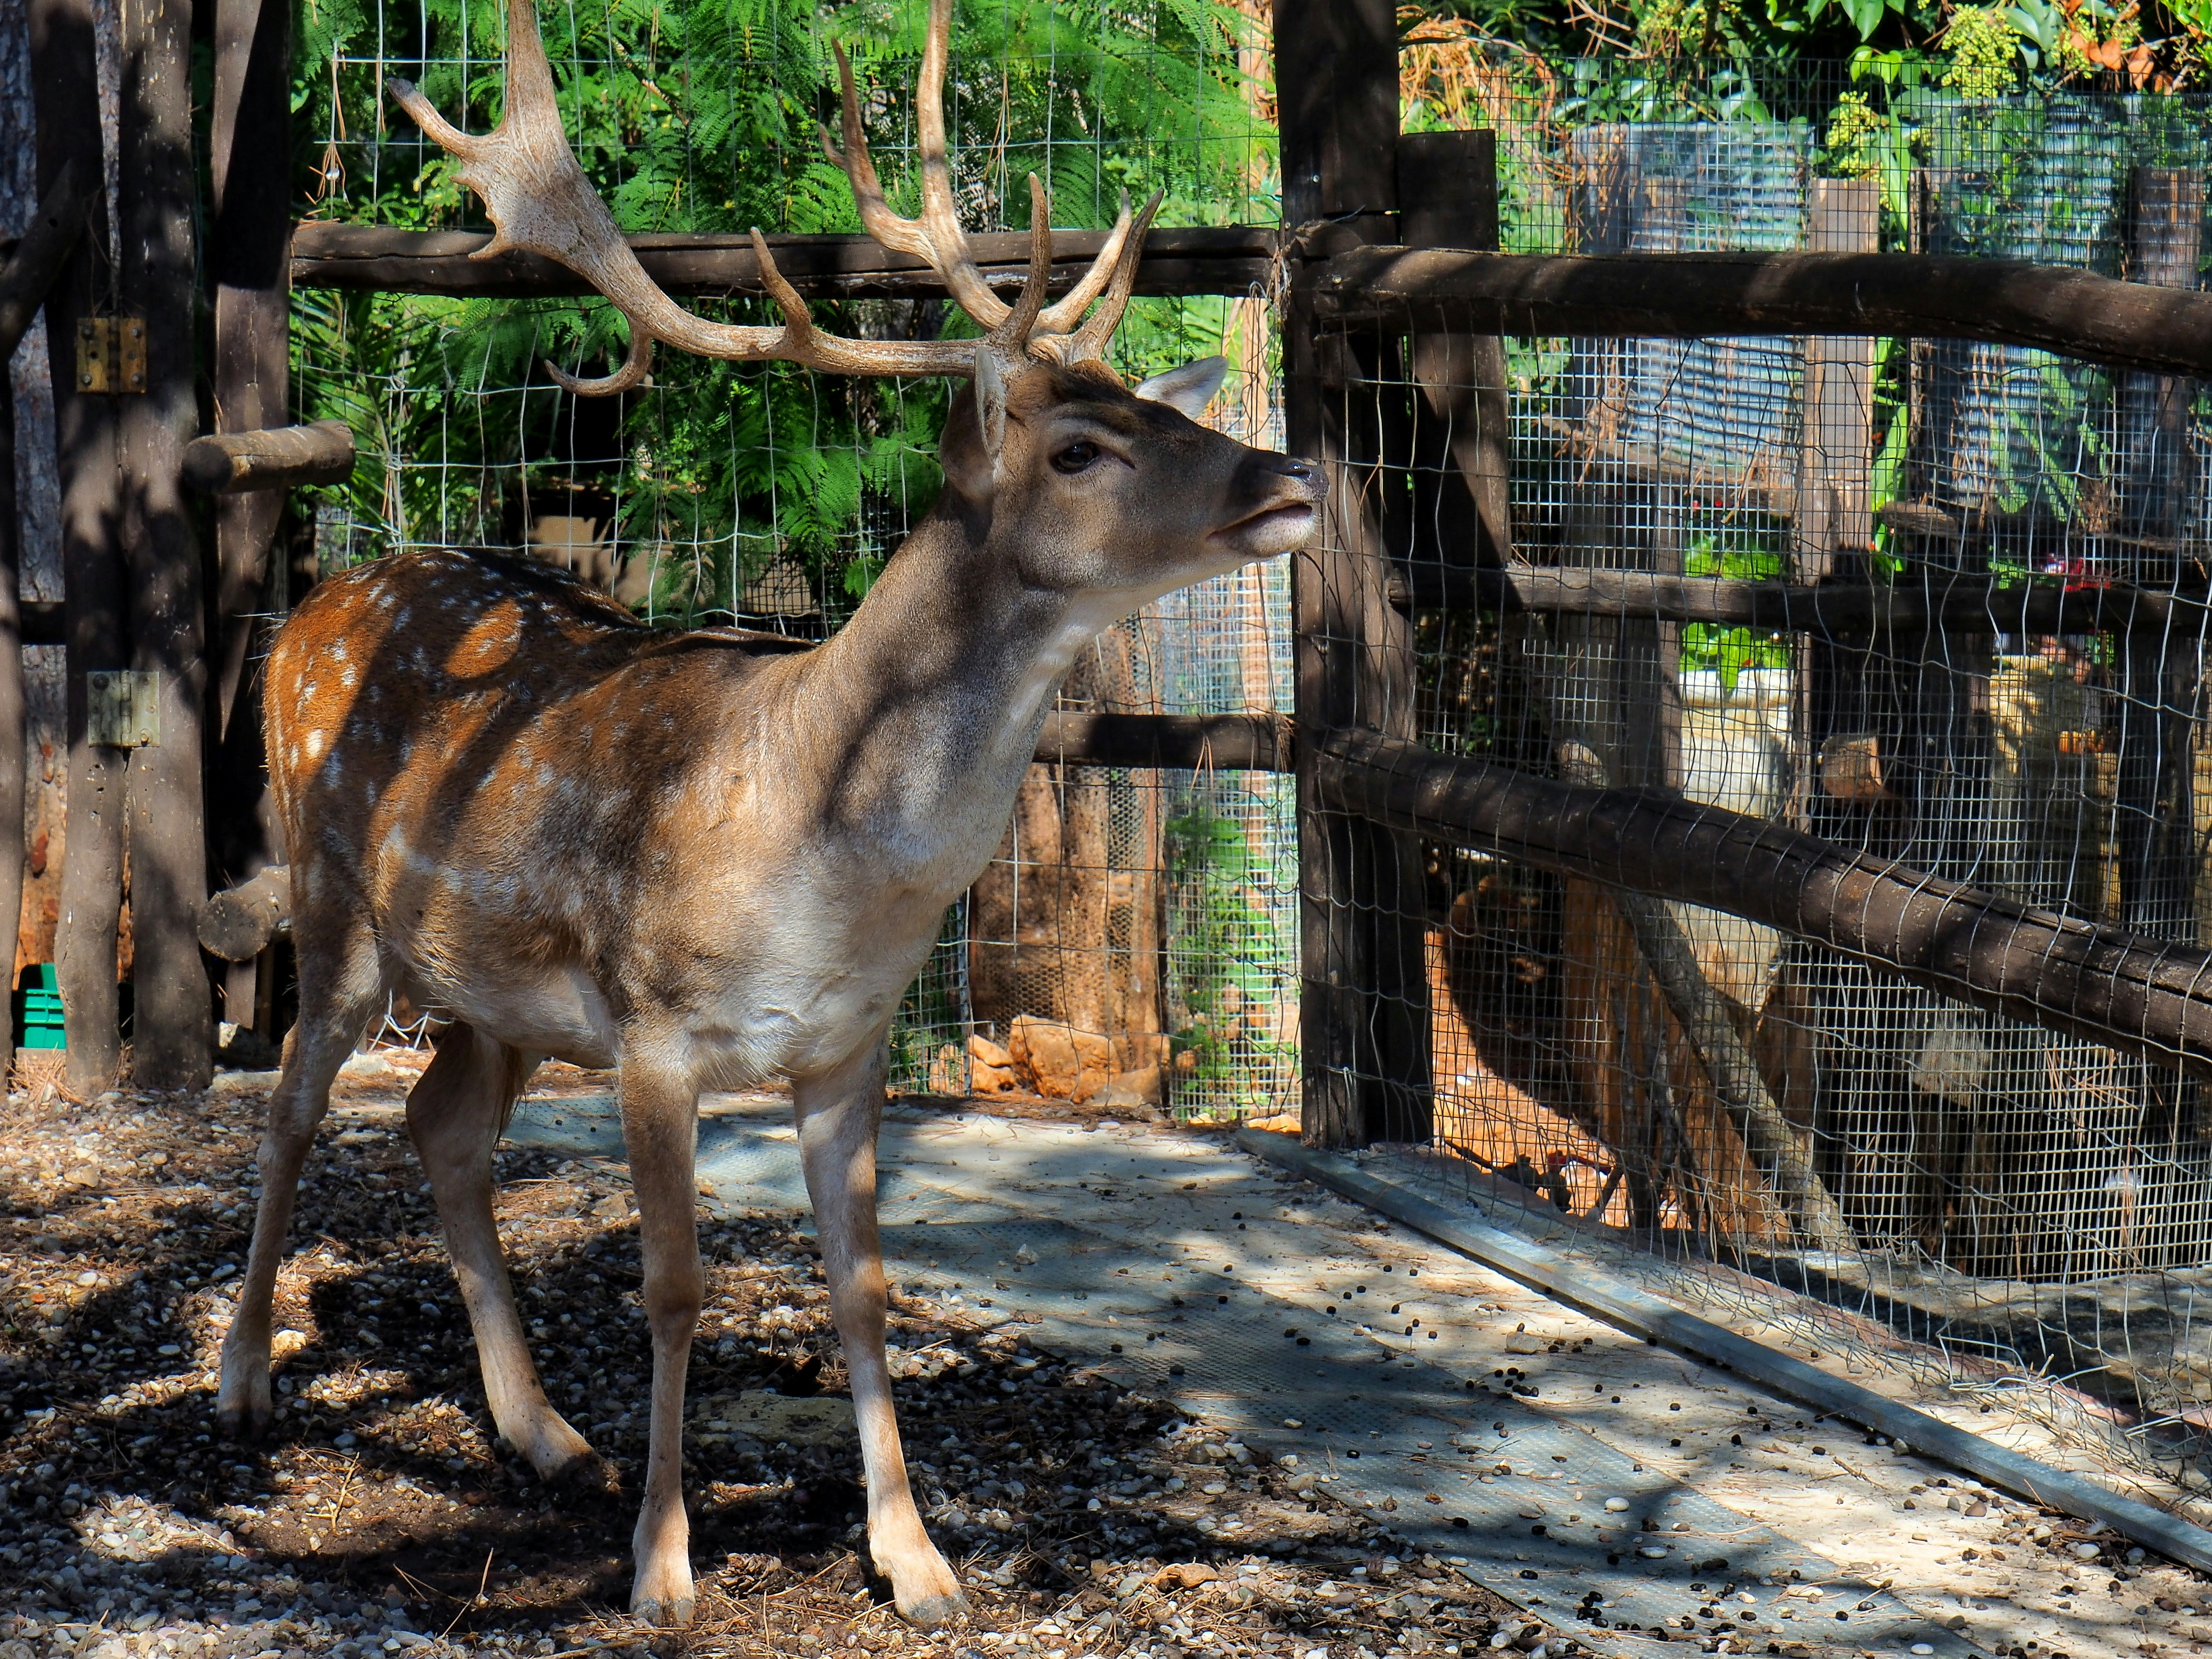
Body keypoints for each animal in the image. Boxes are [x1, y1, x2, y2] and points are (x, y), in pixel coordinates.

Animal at [214, 0, 1321, 1632]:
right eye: (1077, 449)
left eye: (1136, 407)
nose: (1288, 475)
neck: (830, 862)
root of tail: (316, 597)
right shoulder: (657, 1027)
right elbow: (677, 1288)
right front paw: (666, 1569)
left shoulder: (845, 1044)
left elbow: (859, 1284)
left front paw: (917, 1560)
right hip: (334, 890)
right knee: (295, 1107)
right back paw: (240, 1380)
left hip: (494, 991)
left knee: (441, 1127)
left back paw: (545, 1431)